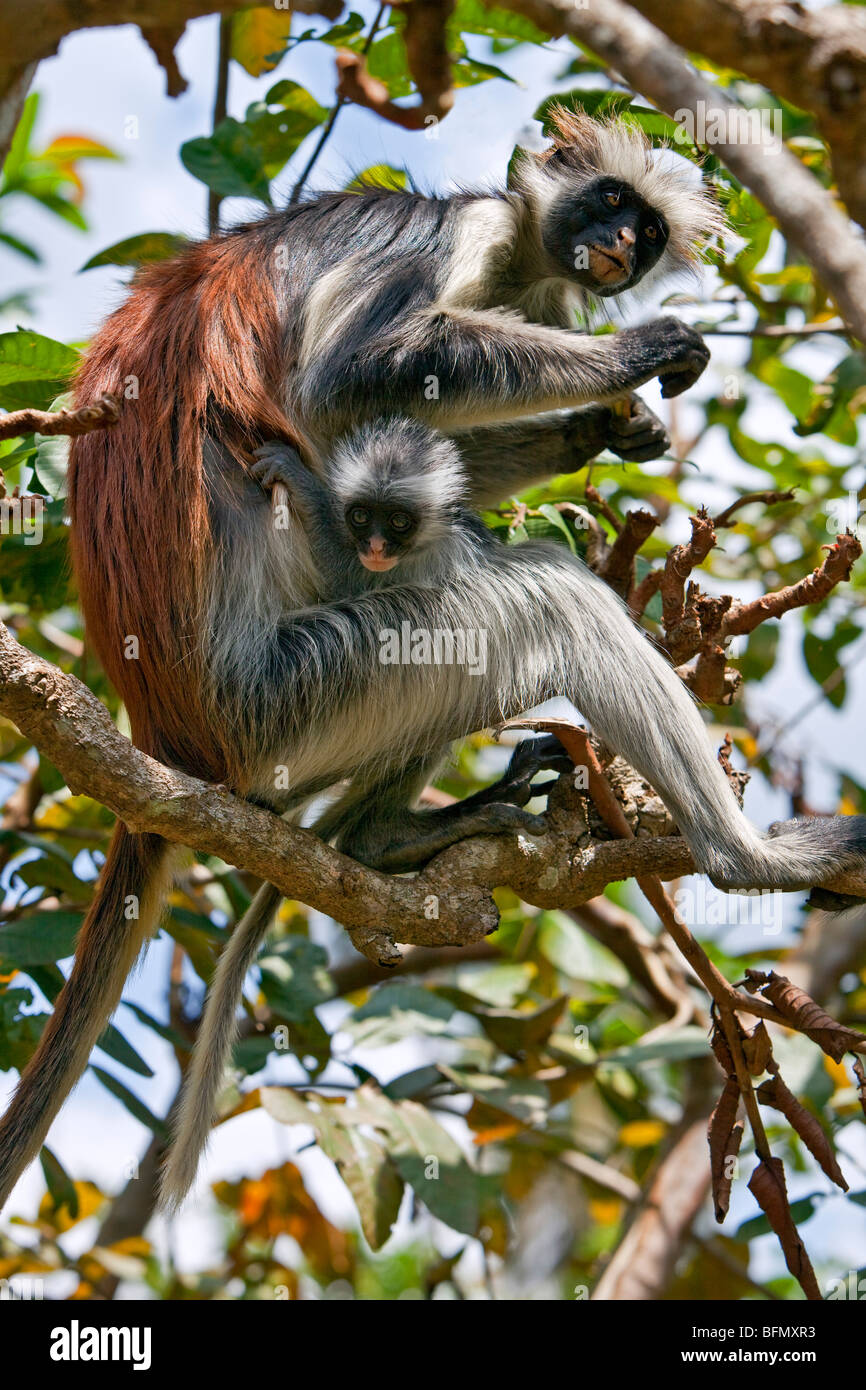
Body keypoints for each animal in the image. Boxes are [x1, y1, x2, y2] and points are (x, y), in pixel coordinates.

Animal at [3, 113, 861, 1212]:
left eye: (650, 228)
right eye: (610, 202)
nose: (621, 248)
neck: (517, 255)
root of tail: (167, 733)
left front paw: (601, 424)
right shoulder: (452, 245)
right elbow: (344, 385)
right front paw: (637, 353)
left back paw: (388, 839)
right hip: (297, 694)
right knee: (547, 593)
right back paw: (747, 858)